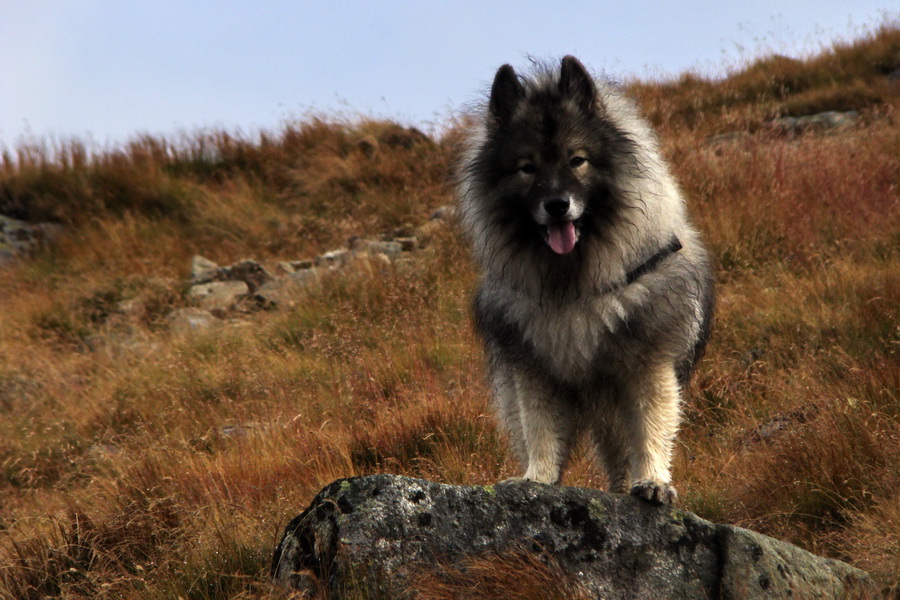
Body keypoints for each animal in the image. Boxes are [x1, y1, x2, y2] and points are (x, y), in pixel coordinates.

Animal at [460, 57, 712, 506]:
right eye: (527, 168)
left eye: (577, 160)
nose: (557, 205)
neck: (574, 284)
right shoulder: (533, 370)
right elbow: (540, 429)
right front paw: (536, 479)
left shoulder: (648, 364)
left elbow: (651, 427)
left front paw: (653, 481)